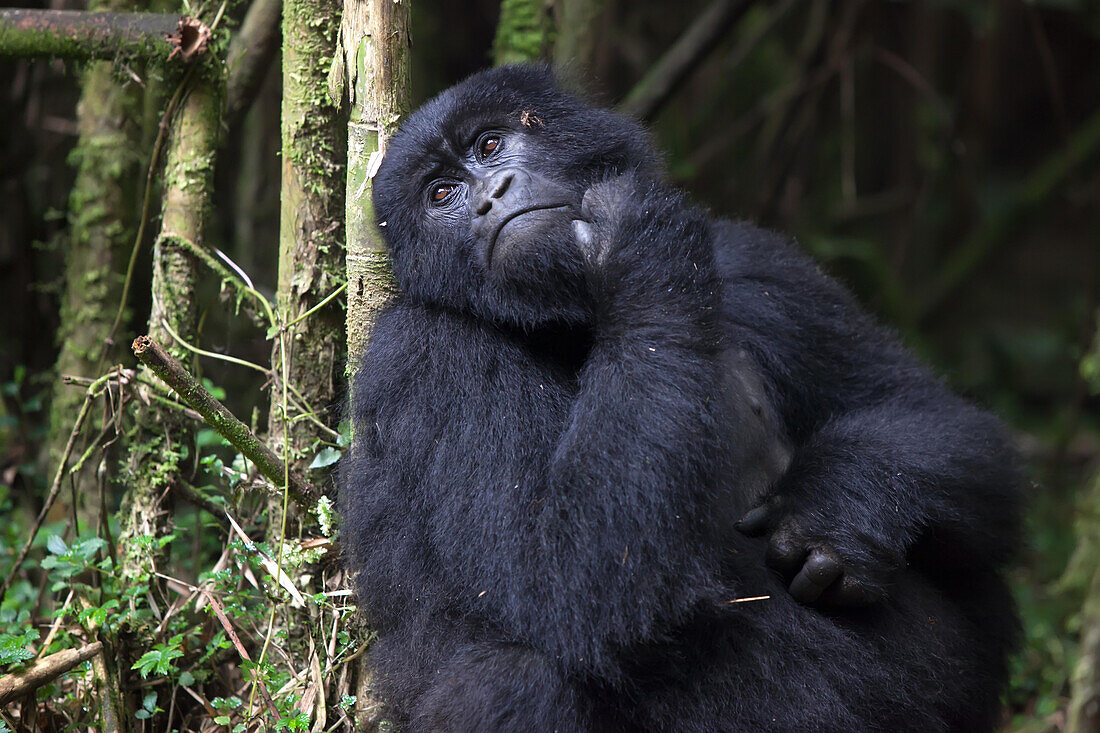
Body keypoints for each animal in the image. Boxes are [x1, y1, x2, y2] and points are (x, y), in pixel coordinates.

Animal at [341, 65, 1020, 726]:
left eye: (490, 144)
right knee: (515, 675)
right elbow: (566, 580)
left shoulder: (757, 264)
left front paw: (841, 509)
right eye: (441, 194)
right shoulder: (429, 349)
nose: (491, 196)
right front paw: (635, 245)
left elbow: (933, 413)